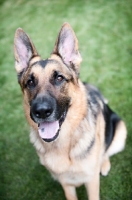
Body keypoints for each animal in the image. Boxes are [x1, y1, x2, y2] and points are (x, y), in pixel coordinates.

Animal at [13, 23, 127, 200]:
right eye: (30, 82)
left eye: (59, 78)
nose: (41, 112)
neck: (62, 144)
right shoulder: (66, 185)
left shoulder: (91, 181)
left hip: (120, 132)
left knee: (106, 150)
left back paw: (104, 164)